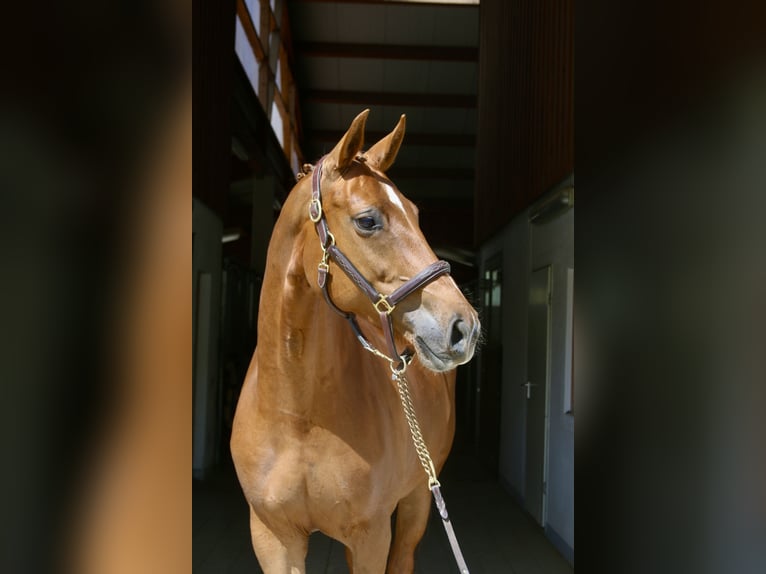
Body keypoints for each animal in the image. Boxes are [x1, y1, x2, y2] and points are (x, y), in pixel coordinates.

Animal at [231, 110, 480, 572]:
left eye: (416, 214)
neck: (297, 414)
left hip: (418, 499)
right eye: (367, 220)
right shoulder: (273, 538)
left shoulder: (371, 535)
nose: (464, 328)